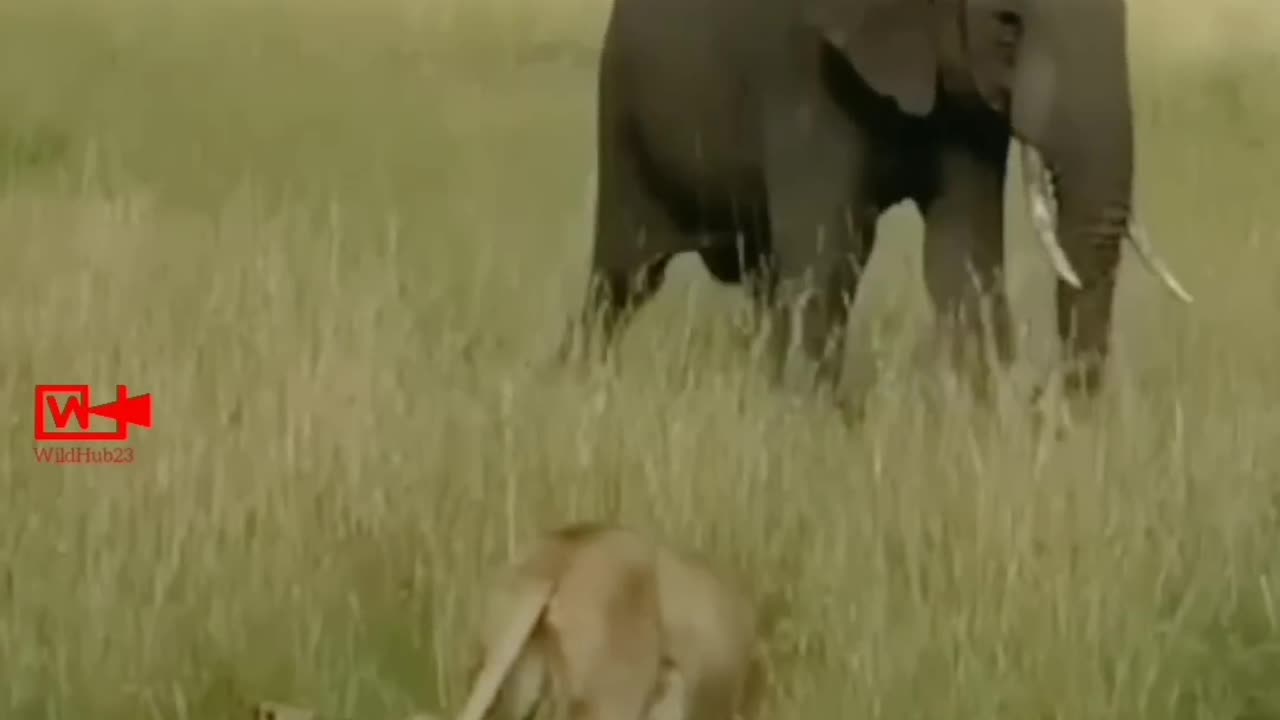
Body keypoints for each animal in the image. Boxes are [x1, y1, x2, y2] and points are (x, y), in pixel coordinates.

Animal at [560, 0, 1187, 397]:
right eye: (1007, 23)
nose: (1044, 402)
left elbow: (963, 261)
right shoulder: (801, 74)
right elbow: (829, 256)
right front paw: (814, 426)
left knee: (764, 287)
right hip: (622, 115)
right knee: (620, 282)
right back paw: (582, 385)